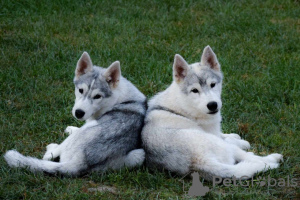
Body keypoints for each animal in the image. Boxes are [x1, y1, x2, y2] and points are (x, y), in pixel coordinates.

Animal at [3, 52, 146, 177]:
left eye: (97, 96)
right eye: (80, 90)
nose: (79, 113)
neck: (116, 98)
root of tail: (81, 162)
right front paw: (72, 127)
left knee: (51, 154)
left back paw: (52, 148)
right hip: (138, 155)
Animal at [142, 45, 282, 181]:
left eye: (213, 84)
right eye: (194, 90)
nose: (212, 105)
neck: (185, 106)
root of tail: (198, 163)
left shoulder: (213, 131)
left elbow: (224, 135)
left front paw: (235, 137)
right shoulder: (213, 134)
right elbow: (229, 141)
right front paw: (241, 142)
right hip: (220, 147)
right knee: (246, 156)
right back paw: (271, 159)